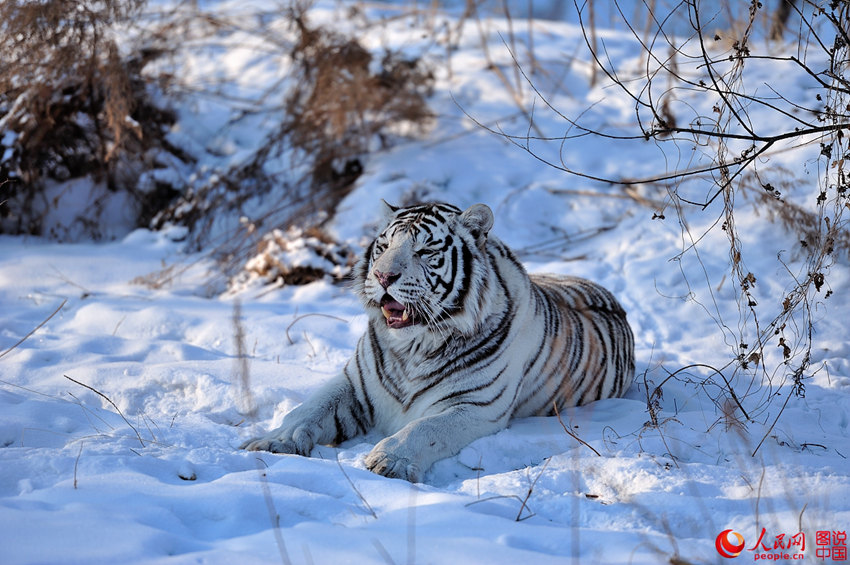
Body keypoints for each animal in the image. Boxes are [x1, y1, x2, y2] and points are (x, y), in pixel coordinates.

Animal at [242, 202, 632, 480]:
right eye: (383, 246)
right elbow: (307, 409)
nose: (383, 276)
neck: (412, 346)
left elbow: (426, 427)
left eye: (425, 252)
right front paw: (274, 441)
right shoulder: (354, 383)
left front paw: (388, 460)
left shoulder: (476, 405)